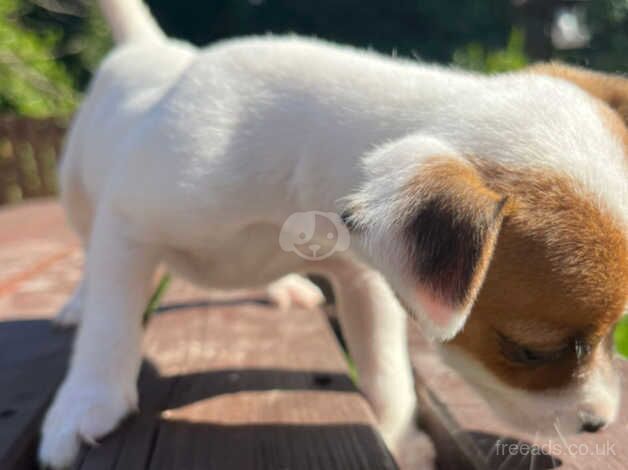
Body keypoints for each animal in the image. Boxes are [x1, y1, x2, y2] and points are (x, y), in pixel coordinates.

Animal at [39, 1, 628, 468]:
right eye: (532, 351)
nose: (599, 424)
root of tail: (152, 49)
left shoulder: (365, 280)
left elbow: (388, 372)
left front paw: (397, 437)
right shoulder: (127, 226)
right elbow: (110, 325)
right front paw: (86, 401)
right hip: (77, 196)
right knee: (88, 260)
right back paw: (76, 304)